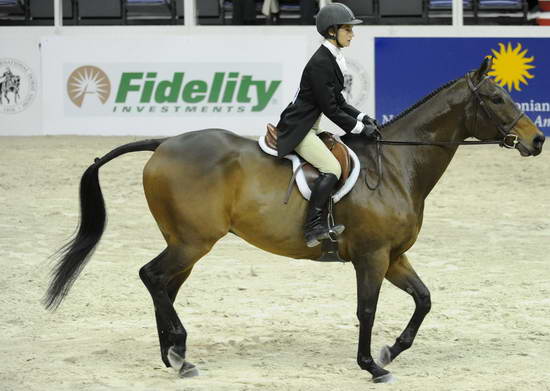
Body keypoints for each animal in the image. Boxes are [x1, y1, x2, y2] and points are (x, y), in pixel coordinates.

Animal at [43, 59, 544, 384]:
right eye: (496, 97)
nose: (537, 140)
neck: (397, 166)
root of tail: (162, 143)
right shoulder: (372, 257)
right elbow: (366, 309)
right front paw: (371, 365)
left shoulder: (395, 256)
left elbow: (423, 300)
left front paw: (390, 350)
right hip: (192, 241)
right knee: (152, 276)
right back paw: (179, 353)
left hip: (186, 243)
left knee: (164, 285)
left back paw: (174, 355)